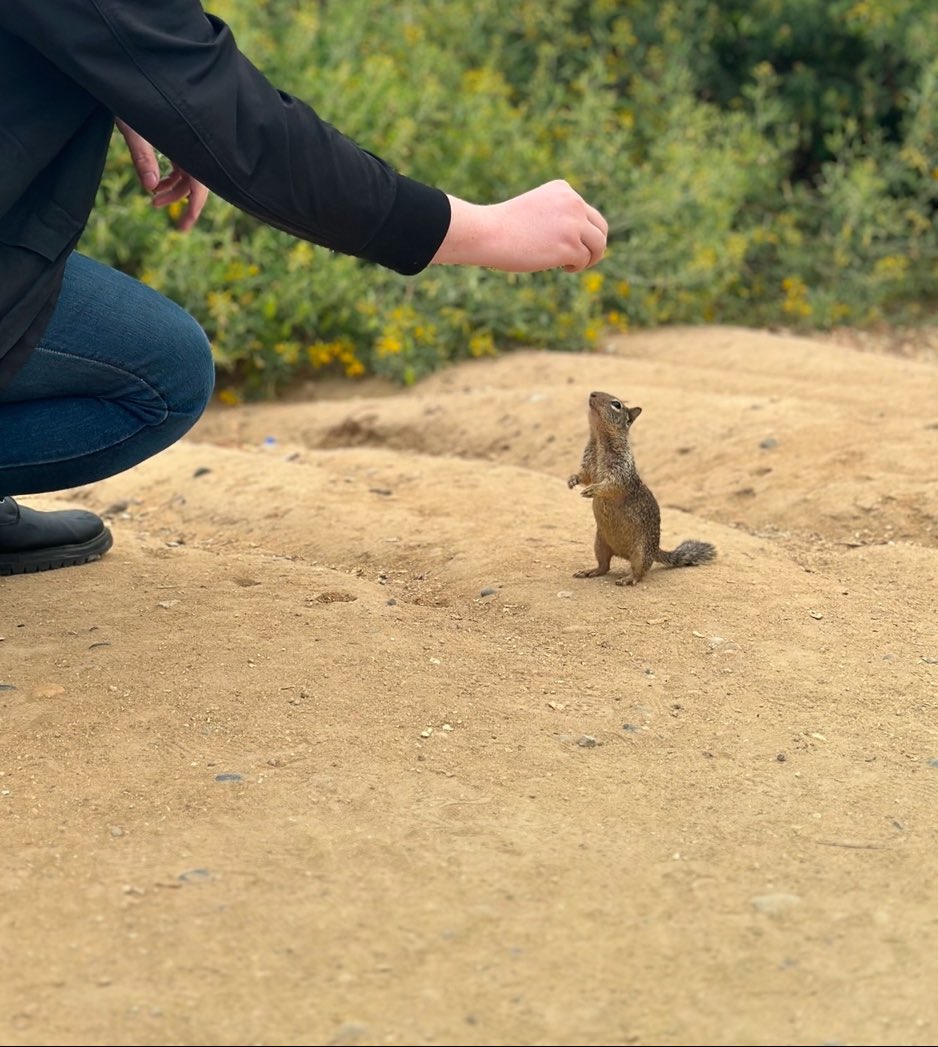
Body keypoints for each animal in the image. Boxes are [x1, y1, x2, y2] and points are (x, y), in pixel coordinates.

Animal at [568, 390, 716, 585]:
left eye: (616, 404)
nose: (592, 393)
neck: (599, 441)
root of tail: (655, 550)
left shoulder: (621, 471)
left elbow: (611, 485)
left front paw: (592, 490)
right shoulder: (588, 464)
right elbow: (583, 476)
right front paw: (572, 480)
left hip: (640, 552)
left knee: (640, 572)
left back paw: (627, 579)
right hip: (599, 544)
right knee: (604, 566)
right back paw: (590, 571)